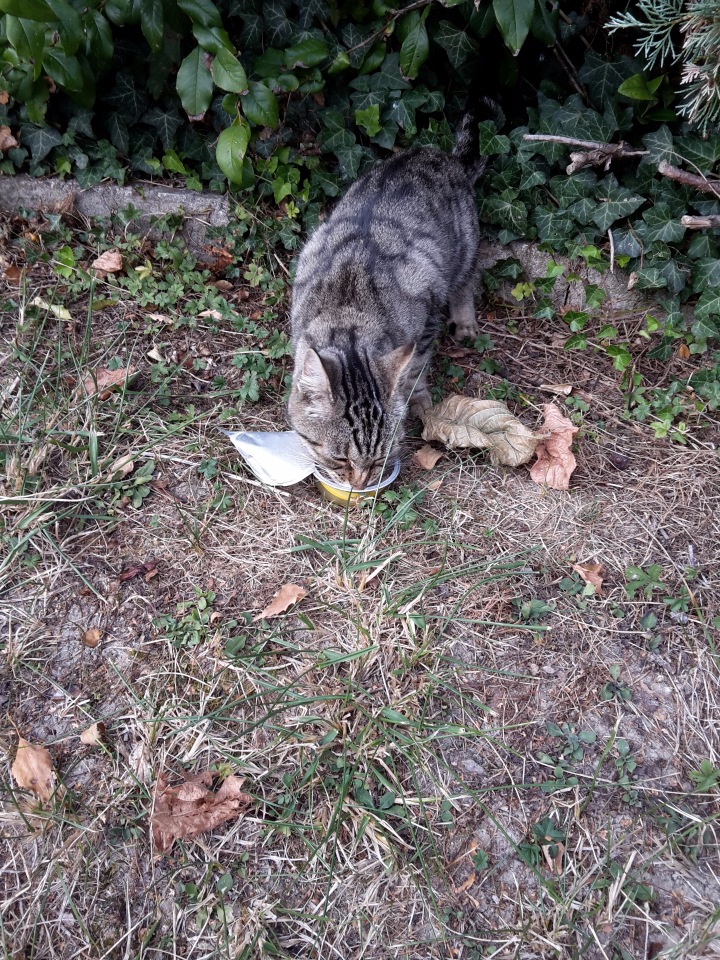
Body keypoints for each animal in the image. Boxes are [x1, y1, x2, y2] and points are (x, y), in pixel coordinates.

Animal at [290, 112, 486, 488]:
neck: (348, 314)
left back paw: (466, 321)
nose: (360, 485)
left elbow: (415, 367)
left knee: (467, 281)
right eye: (339, 459)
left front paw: (416, 398)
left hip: (464, 250)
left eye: (379, 458)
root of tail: (443, 156)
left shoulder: (427, 308)